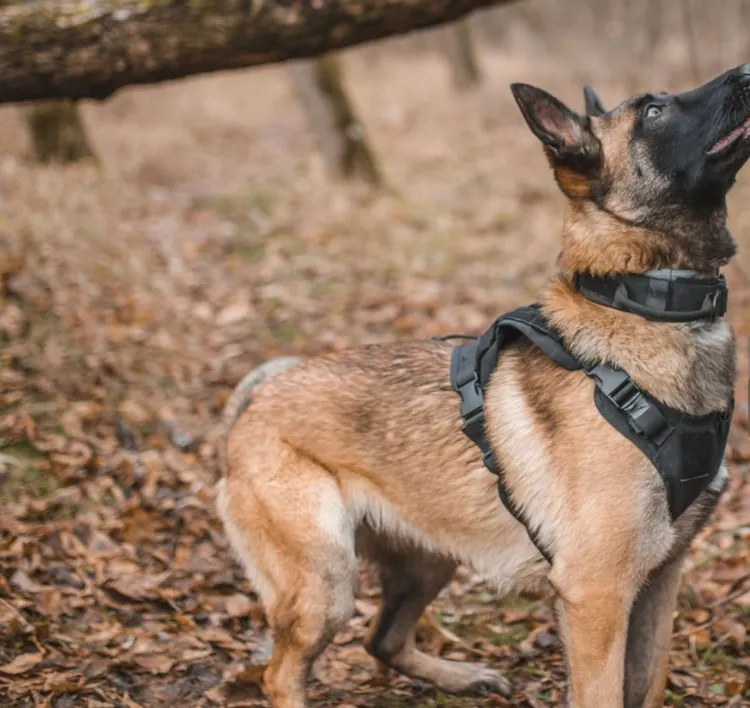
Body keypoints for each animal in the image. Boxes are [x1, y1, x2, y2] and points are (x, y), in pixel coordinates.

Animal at [214, 63, 748, 704]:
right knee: (283, 673)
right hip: (328, 584)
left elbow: (647, 686)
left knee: (381, 640)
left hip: (428, 560)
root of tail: (255, 401)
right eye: (653, 112)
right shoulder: (597, 597)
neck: (642, 304)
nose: (746, 71)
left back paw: (462, 676)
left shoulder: (659, 582)